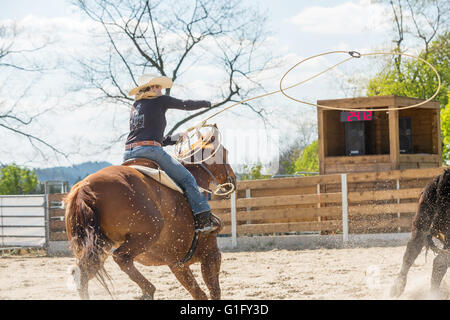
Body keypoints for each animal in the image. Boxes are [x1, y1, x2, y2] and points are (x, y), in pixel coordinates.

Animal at [65, 131, 237, 300]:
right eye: (226, 152)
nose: (233, 179)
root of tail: (84, 188)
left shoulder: (177, 265)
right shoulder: (209, 255)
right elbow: (211, 292)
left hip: (99, 247)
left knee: (81, 273)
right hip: (147, 233)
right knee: (120, 257)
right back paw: (148, 290)